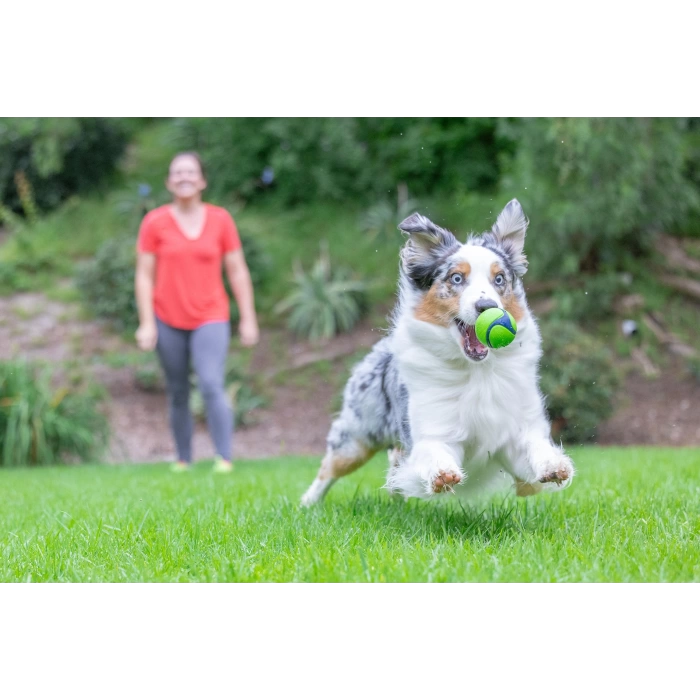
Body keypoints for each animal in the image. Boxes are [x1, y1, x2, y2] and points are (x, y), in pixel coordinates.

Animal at [300, 200, 576, 506]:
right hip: (357, 437)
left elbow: (534, 447)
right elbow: (433, 452)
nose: (487, 306)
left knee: (393, 463)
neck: (477, 372)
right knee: (330, 468)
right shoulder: (433, 430)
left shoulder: (515, 431)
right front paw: (441, 472)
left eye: (499, 279)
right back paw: (308, 504)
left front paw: (554, 465)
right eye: (456, 278)